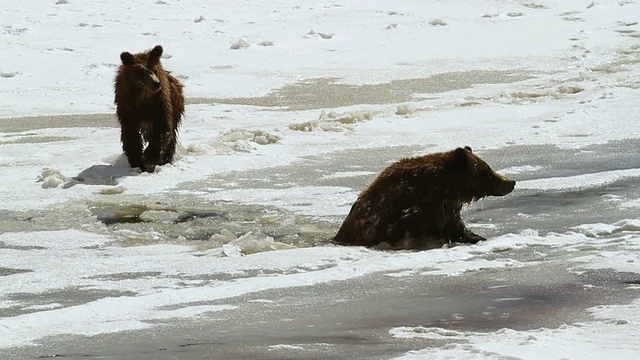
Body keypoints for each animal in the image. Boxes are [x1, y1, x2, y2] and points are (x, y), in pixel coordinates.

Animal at [114, 45, 184, 173]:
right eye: (141, 72)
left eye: (155, 69)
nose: (156, 83)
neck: (142, 96)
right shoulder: (127, 107)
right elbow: (131, 134)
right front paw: (137, 161)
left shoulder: (160, 103)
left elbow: (162, 129)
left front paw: (149, 159)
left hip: (176, 105)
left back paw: (165, 159)